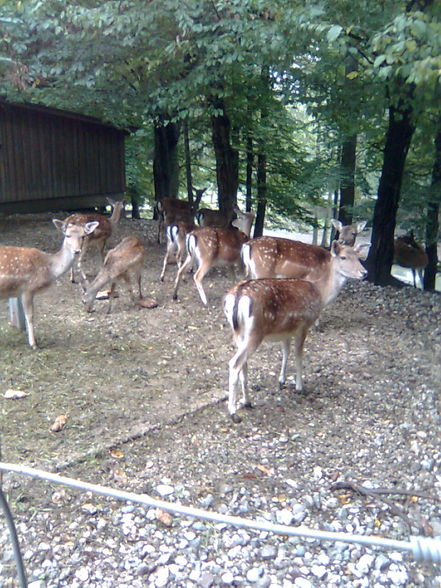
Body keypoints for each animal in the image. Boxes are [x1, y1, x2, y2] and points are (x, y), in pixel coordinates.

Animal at [0, 220, 98, 350]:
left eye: (83, 236)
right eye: (67, 235)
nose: (77, 251)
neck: (50, 269)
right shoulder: (27, 288)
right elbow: (30, 316)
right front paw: (34, 344)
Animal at [225, 240, 366, 422]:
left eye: (358, 256)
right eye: (343, 257)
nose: (364, 272)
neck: (321, 292)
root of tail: (237, 296)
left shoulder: (286, 330)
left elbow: (286, 352)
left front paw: (282, 381)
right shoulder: (303, 326)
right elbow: (299, 356)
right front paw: (300, 387)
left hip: (239, 332)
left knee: (243, 363)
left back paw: (247, 401)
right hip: (255, 332)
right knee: (235, 363)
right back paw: (233, 411)